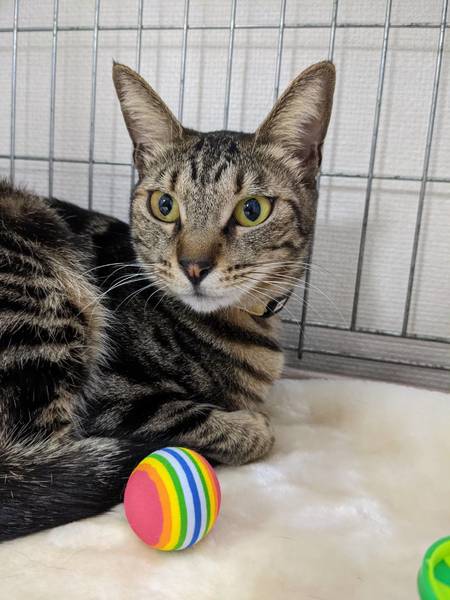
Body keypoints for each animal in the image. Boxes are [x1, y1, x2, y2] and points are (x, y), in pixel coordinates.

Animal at [0, 60, 335, 540]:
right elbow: (202, 421)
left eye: (252, 211)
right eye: (164, 205)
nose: (194, 266)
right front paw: (248, 427)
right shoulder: (112, 400)